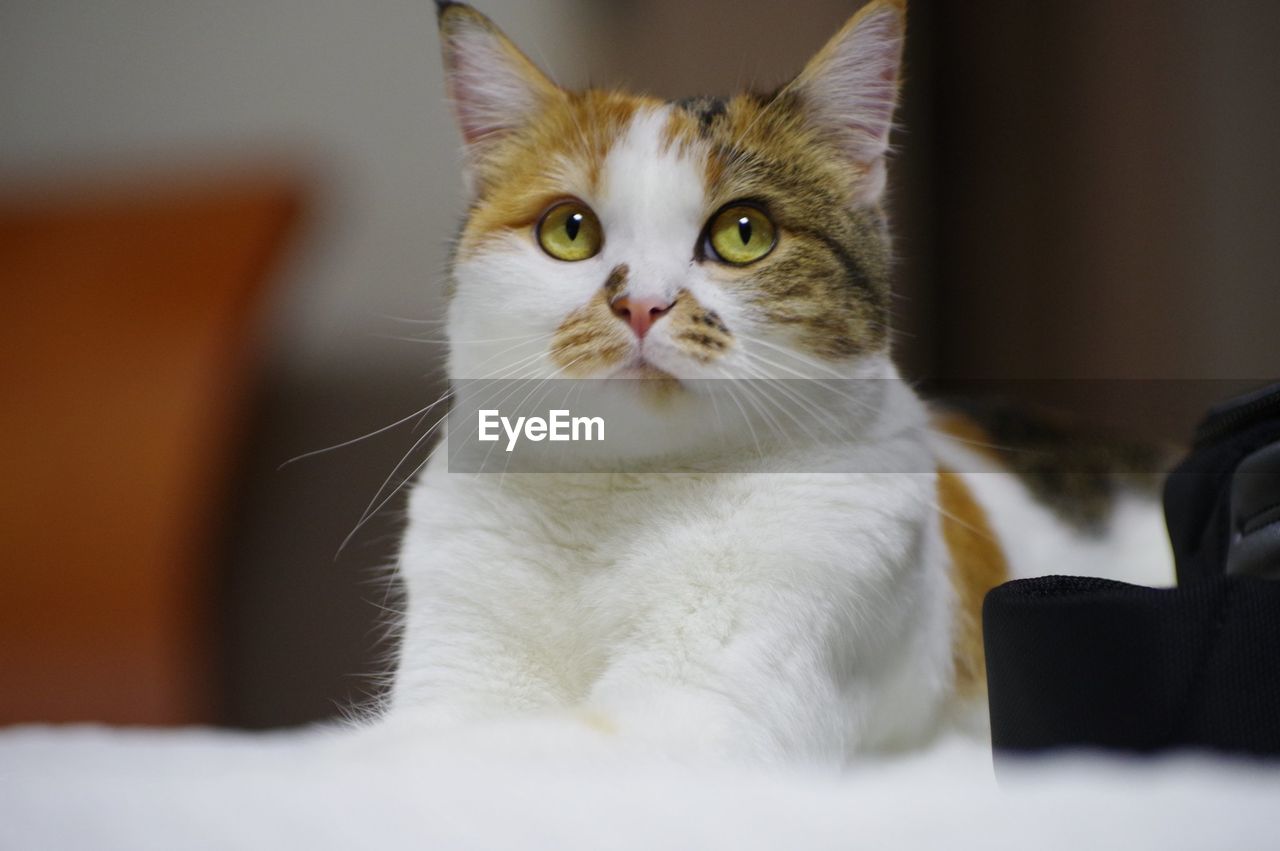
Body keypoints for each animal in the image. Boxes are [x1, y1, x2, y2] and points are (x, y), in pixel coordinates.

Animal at [381, 0, 1177, 757]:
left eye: (744, 233)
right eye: (568, 230)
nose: (642, 304)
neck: (625, 500)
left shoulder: (695, 711)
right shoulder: (457, 667)